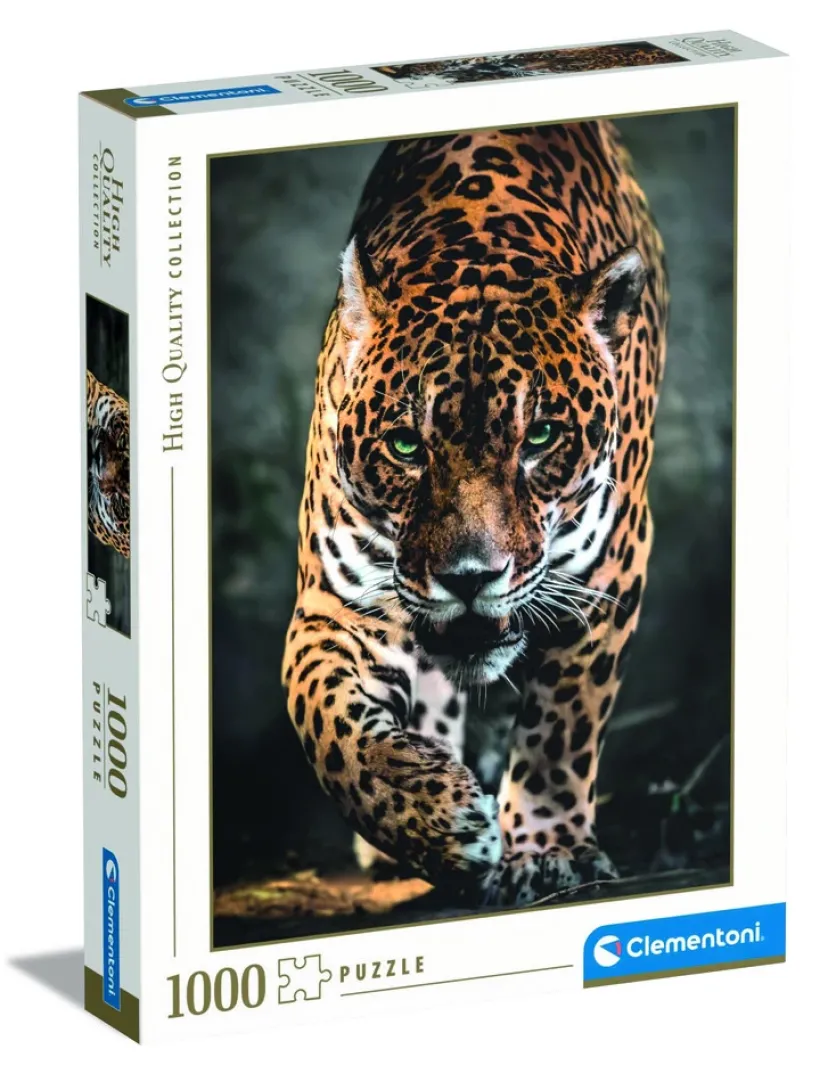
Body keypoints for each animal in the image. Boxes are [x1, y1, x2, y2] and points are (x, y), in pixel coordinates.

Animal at [282, 122, 668, 906]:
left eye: (541, 437)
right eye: (405, 445)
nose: (469, 577)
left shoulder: (606, 576)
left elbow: (562, 724)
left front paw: (548, 849)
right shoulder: (338, 604)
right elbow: (326, 723)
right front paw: (438, 820)